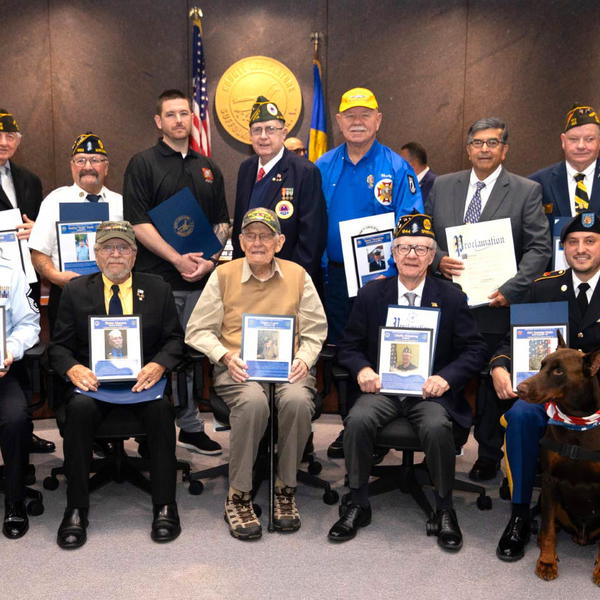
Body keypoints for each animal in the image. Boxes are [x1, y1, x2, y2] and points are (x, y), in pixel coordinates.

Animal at [516, 340, 600, 584]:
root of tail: (582, 537)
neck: (577, 422)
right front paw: (546, 561)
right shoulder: (550, 481)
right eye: (542, 364)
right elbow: (548, 529)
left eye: (559, 371)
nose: (520, 389)